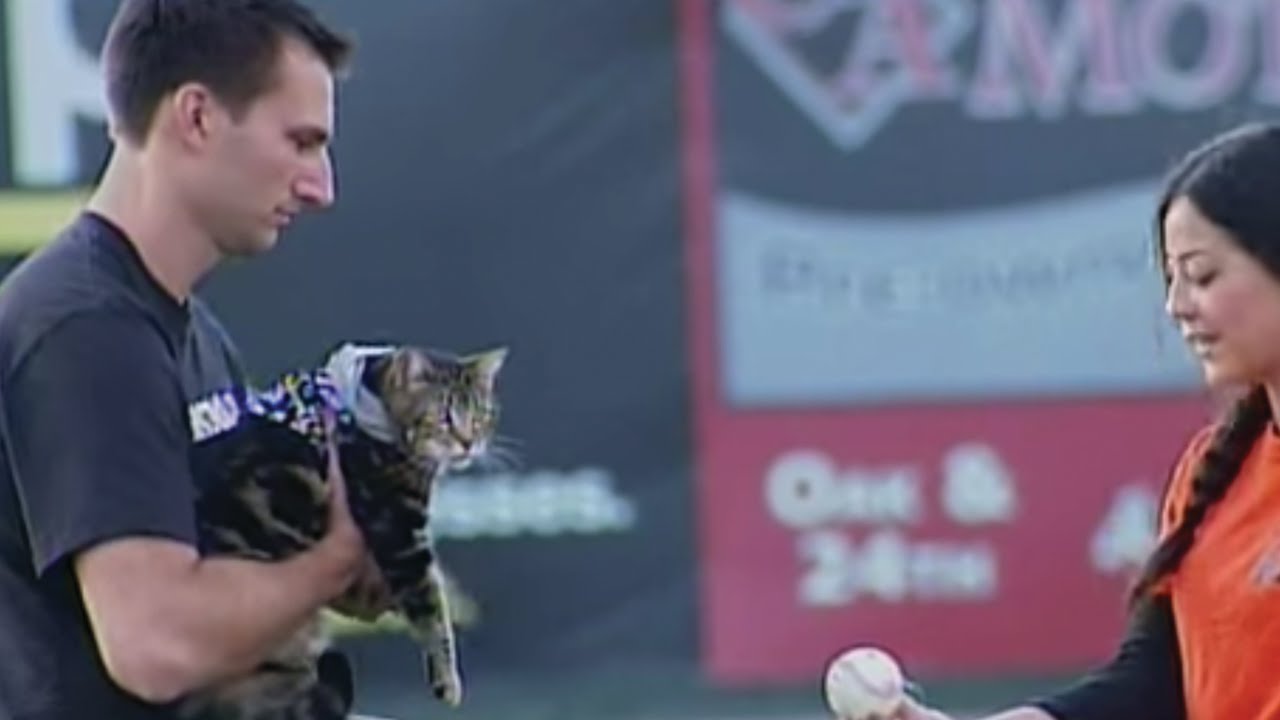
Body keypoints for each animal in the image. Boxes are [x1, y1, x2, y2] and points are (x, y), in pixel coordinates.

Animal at [181, 340, 509, 717]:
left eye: (481, 415)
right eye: (442, 417)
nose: (469, 443)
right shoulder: (400, 534)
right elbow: (432, 610)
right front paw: (447, 678)